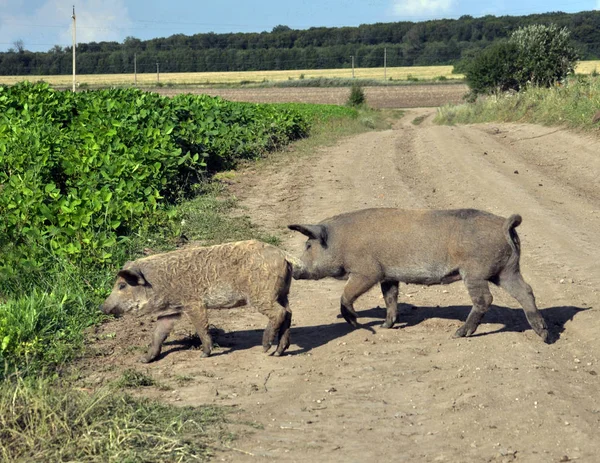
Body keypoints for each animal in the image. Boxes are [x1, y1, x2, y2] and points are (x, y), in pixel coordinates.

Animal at [100, 241, 296, 364]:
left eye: (122, 285)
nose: (102, 307)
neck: (157, 283)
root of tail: (283, 254)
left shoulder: (193, 303)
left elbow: (201, 327)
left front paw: (203, 355)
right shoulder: (171, 312)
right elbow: (158, 333)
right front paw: (143, 360)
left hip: (261, 294)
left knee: (279, 313)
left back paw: (266, 348)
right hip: (282, 293)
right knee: (289, 313)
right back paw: (279, 352)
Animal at [288, 208, 552, 342]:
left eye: (308, 246)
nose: (295, 271)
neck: (340, 242)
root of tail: (504, 223)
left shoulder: (367, 271)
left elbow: (346, 296)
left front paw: (356, 323)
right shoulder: (388, 275)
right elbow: (390, 298)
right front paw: (385, 326)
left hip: (475, 272)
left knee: (485, 299)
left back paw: (458, 334)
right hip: (508, 270)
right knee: (526, 292)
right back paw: (544, 335)